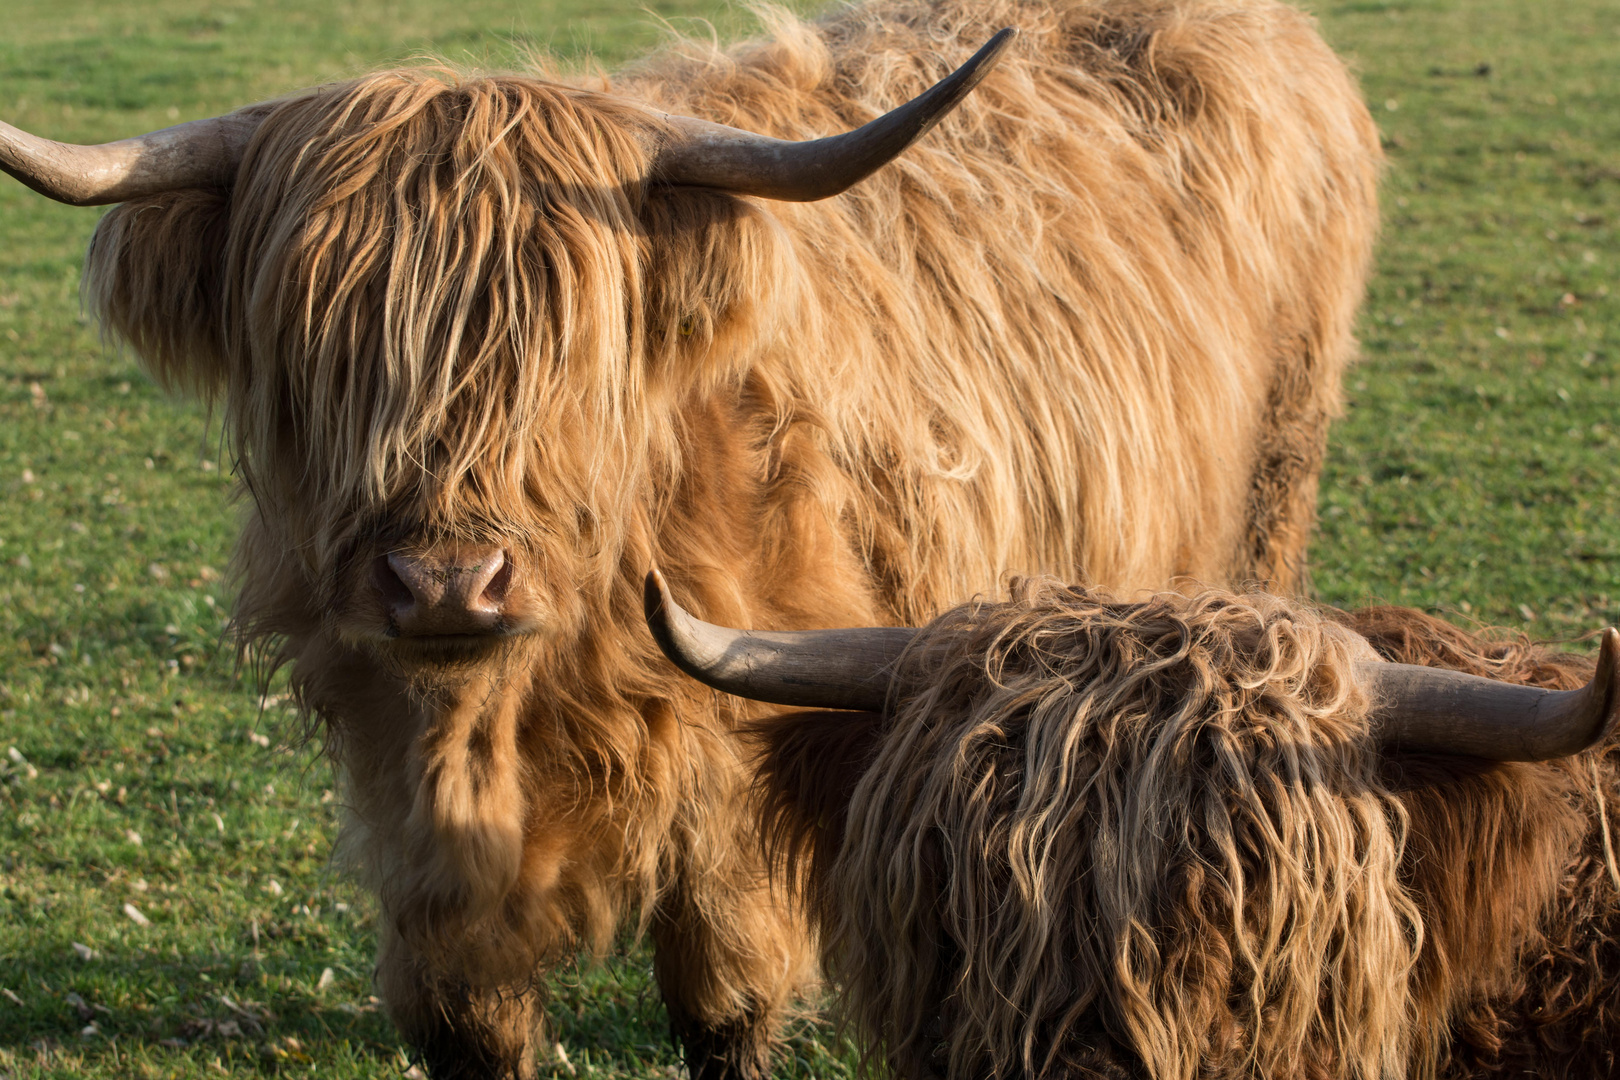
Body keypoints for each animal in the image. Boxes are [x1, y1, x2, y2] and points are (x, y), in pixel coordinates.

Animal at [0, 2, 1386, 1080]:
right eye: (318, 353)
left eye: (572, 353)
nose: (447, 582)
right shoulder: (409, 807)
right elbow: (467, 1018)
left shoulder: (743, 767)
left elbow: (721, 1001)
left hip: (1269, 488)